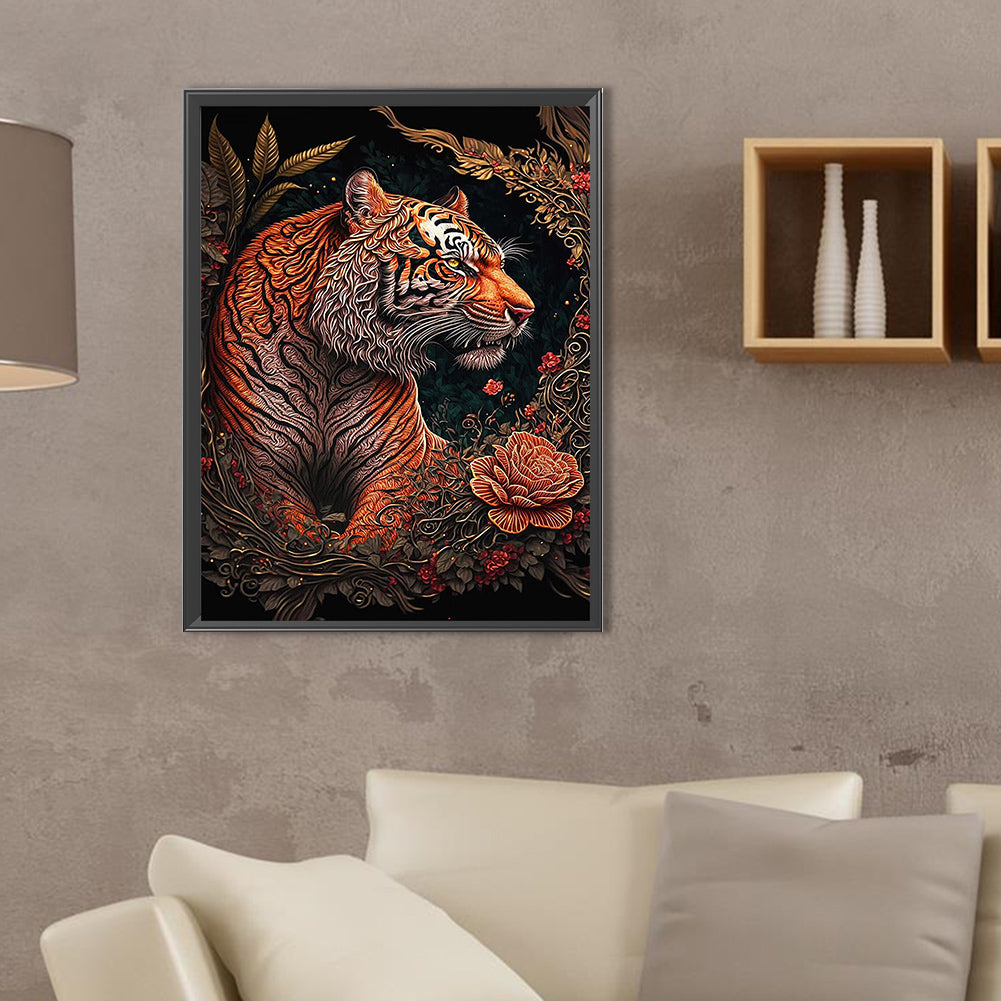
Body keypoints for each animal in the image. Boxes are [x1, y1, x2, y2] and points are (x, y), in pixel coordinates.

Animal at [206, 168, 535, 545]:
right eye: (455, 264)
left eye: (501, 264)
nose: (527, 312)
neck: (328, 362)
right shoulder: (261, 469)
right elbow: (299, 533)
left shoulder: (395, 471)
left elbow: (369, 536)